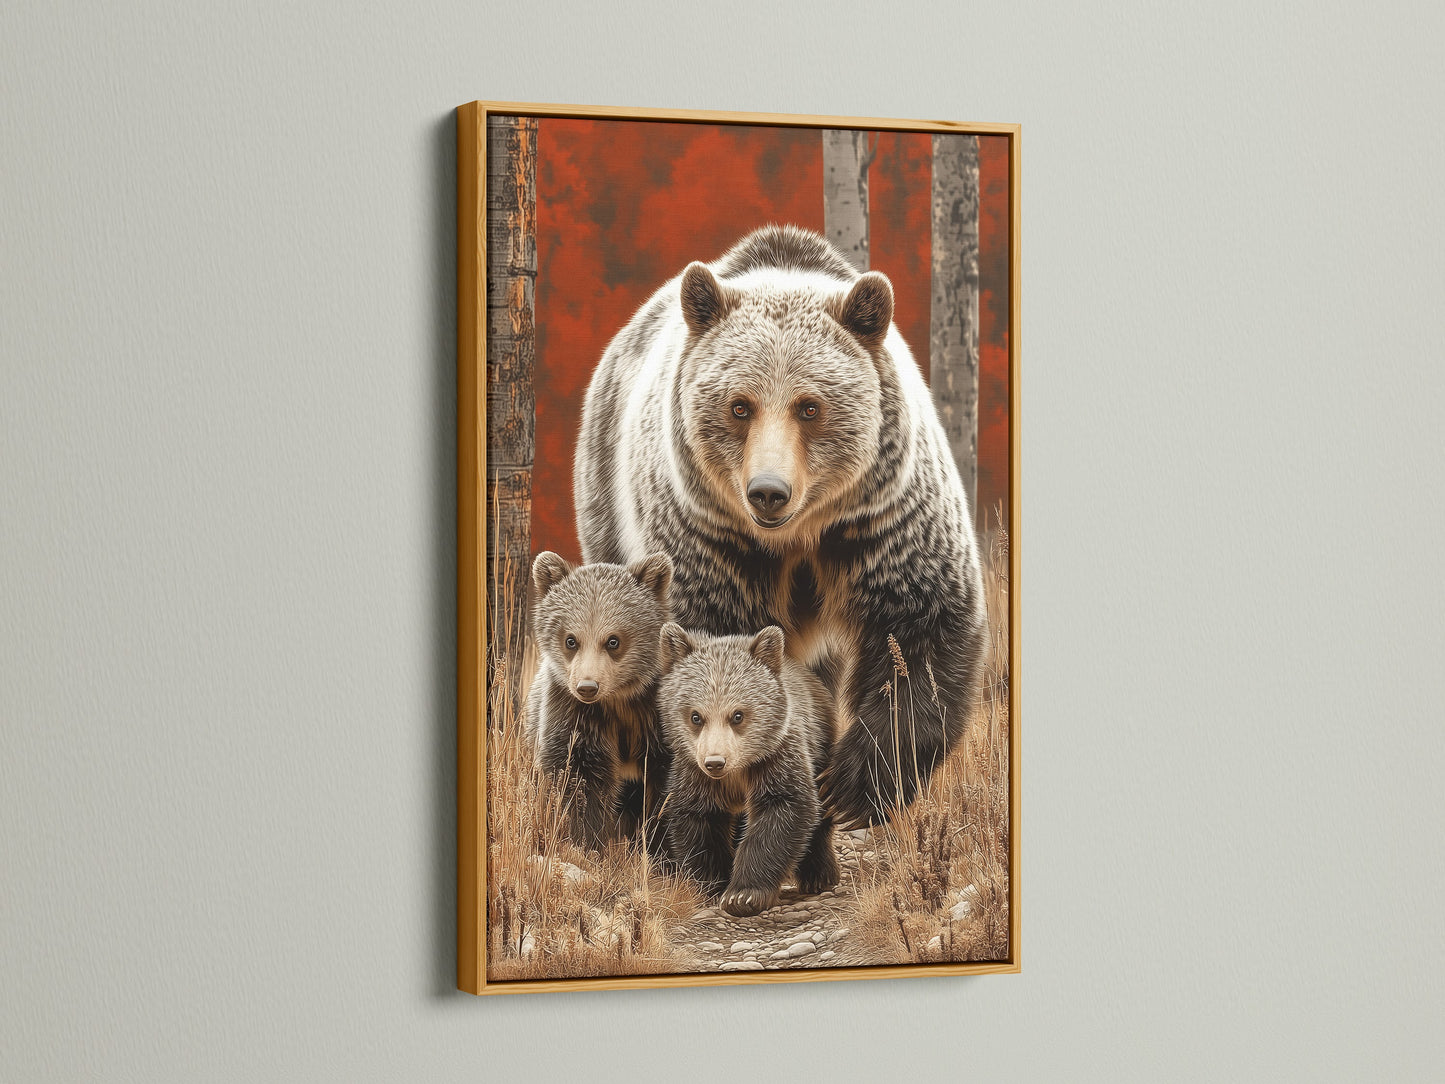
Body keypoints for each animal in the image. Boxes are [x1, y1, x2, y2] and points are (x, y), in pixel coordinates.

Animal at [525, 550, 674, 852]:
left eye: (613, 641)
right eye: (571, 640)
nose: (587, 687)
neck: (619, 700)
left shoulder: (656, 718)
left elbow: (667, 791)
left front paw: (659, 848)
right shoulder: (574, 714)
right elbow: (578, 778)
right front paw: (587, 841)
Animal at [574, 224, 988, 829]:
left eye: (809, 407)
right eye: (739, 406)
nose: (768, 491)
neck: (795, 538)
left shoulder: (882, 518)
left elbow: (922, 628)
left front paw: (851, 788)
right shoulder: (710, 537)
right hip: (608, 502)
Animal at [656, 622, 838, 917]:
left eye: (737, 715)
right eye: (696, 716)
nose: (715, 762)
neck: (737, 773)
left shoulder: (776, 758)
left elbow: (782, 812)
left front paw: (743, 894)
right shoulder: (694, 774)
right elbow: (698, 822)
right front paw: (711, 886)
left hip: (821, 743)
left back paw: (818, 875)